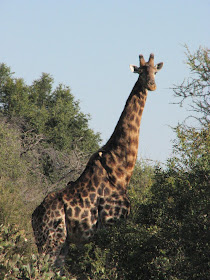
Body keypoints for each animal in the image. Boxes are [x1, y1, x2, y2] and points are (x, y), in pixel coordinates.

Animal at [31, 52, 163, 266]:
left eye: (155, 72)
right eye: (141, 72)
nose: (152, 85)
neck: (120, 170)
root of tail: (33, 217)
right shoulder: (110, 225)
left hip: (61, 242)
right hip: (51, 240)